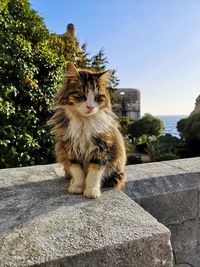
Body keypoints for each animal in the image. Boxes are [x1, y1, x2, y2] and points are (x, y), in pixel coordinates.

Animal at [48, 61, 126, 199]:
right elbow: (77, 170)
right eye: (81, 96)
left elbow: (94, 172)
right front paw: (77, 186)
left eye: (97, 97)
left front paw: (91, 190)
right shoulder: (70, 147)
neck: (84, 122)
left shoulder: (102, 147)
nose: (90, 106)